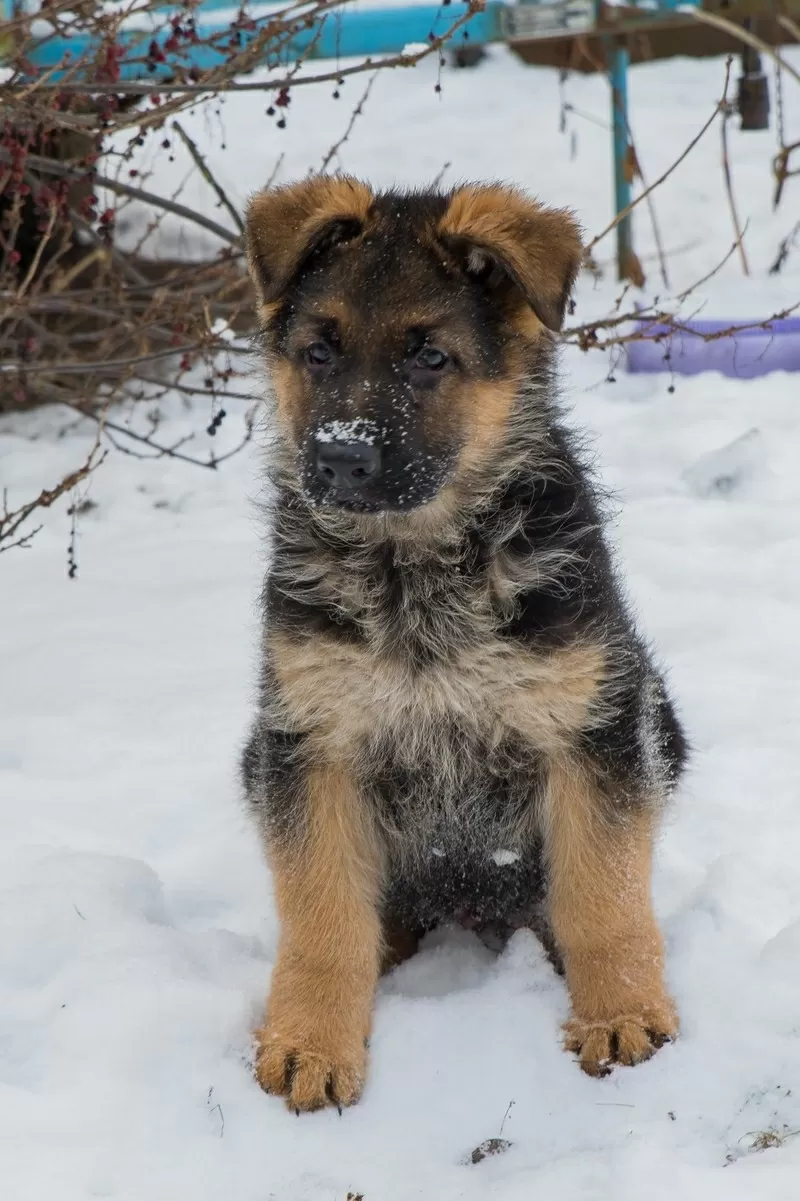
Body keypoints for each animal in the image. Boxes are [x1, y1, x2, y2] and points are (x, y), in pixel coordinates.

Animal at [237, 174, 687, 1109]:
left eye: (430, 359)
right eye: (319, 352)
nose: (339, 462)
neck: (416, 567)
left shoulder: (592, 728)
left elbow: (602, 890)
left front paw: (621, 1010)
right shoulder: (309, 742)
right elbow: (323, 911)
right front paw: (310, 1040)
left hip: (657, 712)